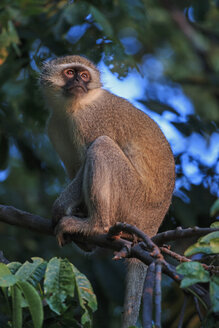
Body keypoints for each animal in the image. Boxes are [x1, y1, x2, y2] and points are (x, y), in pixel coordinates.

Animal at [40, 55, 175, 326]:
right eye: (69, 73)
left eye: (83, 75)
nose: (78, 83)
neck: (72, 108)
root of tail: (151, 226)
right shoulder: (54, 127)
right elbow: (75, 169)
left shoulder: (90, 120)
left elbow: (85, 163)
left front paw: (59, 210)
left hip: (132, 201)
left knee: (102, 146)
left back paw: (96, 226)